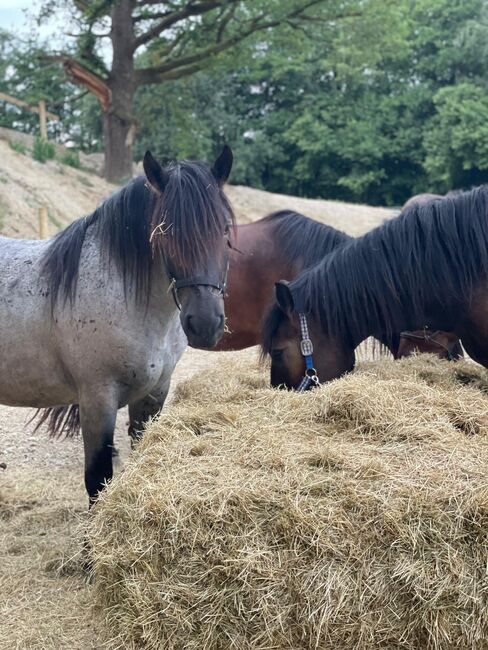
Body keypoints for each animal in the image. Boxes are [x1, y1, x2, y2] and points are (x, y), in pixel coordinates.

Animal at [1, 148, 234, 506]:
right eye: (164, 233)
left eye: (223, 230)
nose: (206, 324)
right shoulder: (98, 400)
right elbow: (98, 479)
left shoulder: (153, 395)